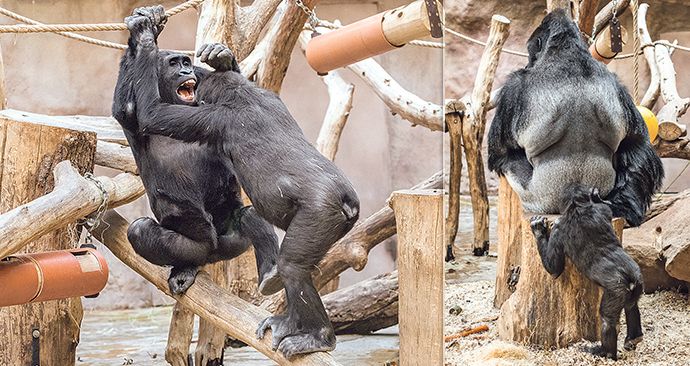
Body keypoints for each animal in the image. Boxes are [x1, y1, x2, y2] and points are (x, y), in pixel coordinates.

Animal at [110, 6, 280, 294]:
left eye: (186, 63)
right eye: (173, 64)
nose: (185, 71)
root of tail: (212, 254)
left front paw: (221, 56)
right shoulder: (130, 116)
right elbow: (125, 107)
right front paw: (143, 34)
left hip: (230, 244)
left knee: (251, 213)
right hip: (196, 246)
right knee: (142, 231)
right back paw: (184, 269)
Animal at [486, 9, 664, 226]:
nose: (528, 62)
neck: (567, 50)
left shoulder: (514, 86)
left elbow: (499, 152)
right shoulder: (618, 85)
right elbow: (636, 144)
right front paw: (626, 207)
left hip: (537, 200)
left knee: (510, 162)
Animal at [528, 186, 644, 360]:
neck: (579, 208)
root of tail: (631, 277)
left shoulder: (558, 228)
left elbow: (553, 268)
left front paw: (538, 230)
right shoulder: (603, 211)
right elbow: (607, 208)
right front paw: (596, 196)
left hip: (617, 290)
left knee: (607, 319)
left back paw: (604, 352)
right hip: (638, 282)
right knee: (631, 306)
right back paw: (634, 338)